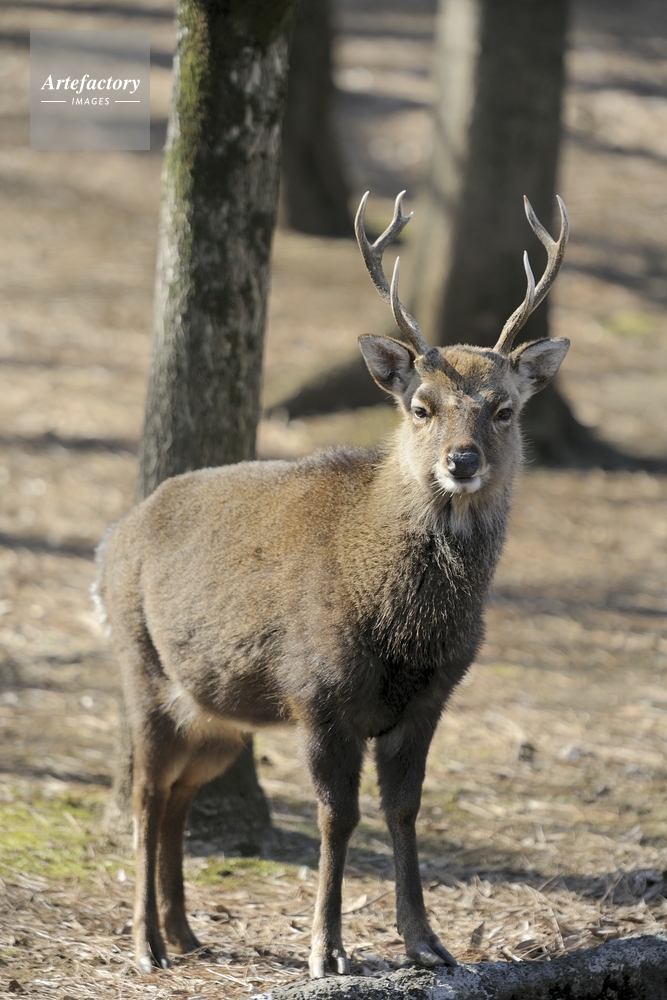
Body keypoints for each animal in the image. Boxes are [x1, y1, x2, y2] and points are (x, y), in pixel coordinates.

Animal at [95, 190, 569, 978]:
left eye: (504, 408)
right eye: (421, 406)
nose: (462, 460)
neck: (405, 624)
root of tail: (111, 541)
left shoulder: (430, 699)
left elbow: (403, 810)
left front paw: (428, 943)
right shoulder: (317, 692)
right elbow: (336, 815)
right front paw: (327, 949)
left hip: (218, 714)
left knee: (177, 797)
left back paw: (186, 933)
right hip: (142, 667)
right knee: (142, 793)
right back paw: (145, 945)